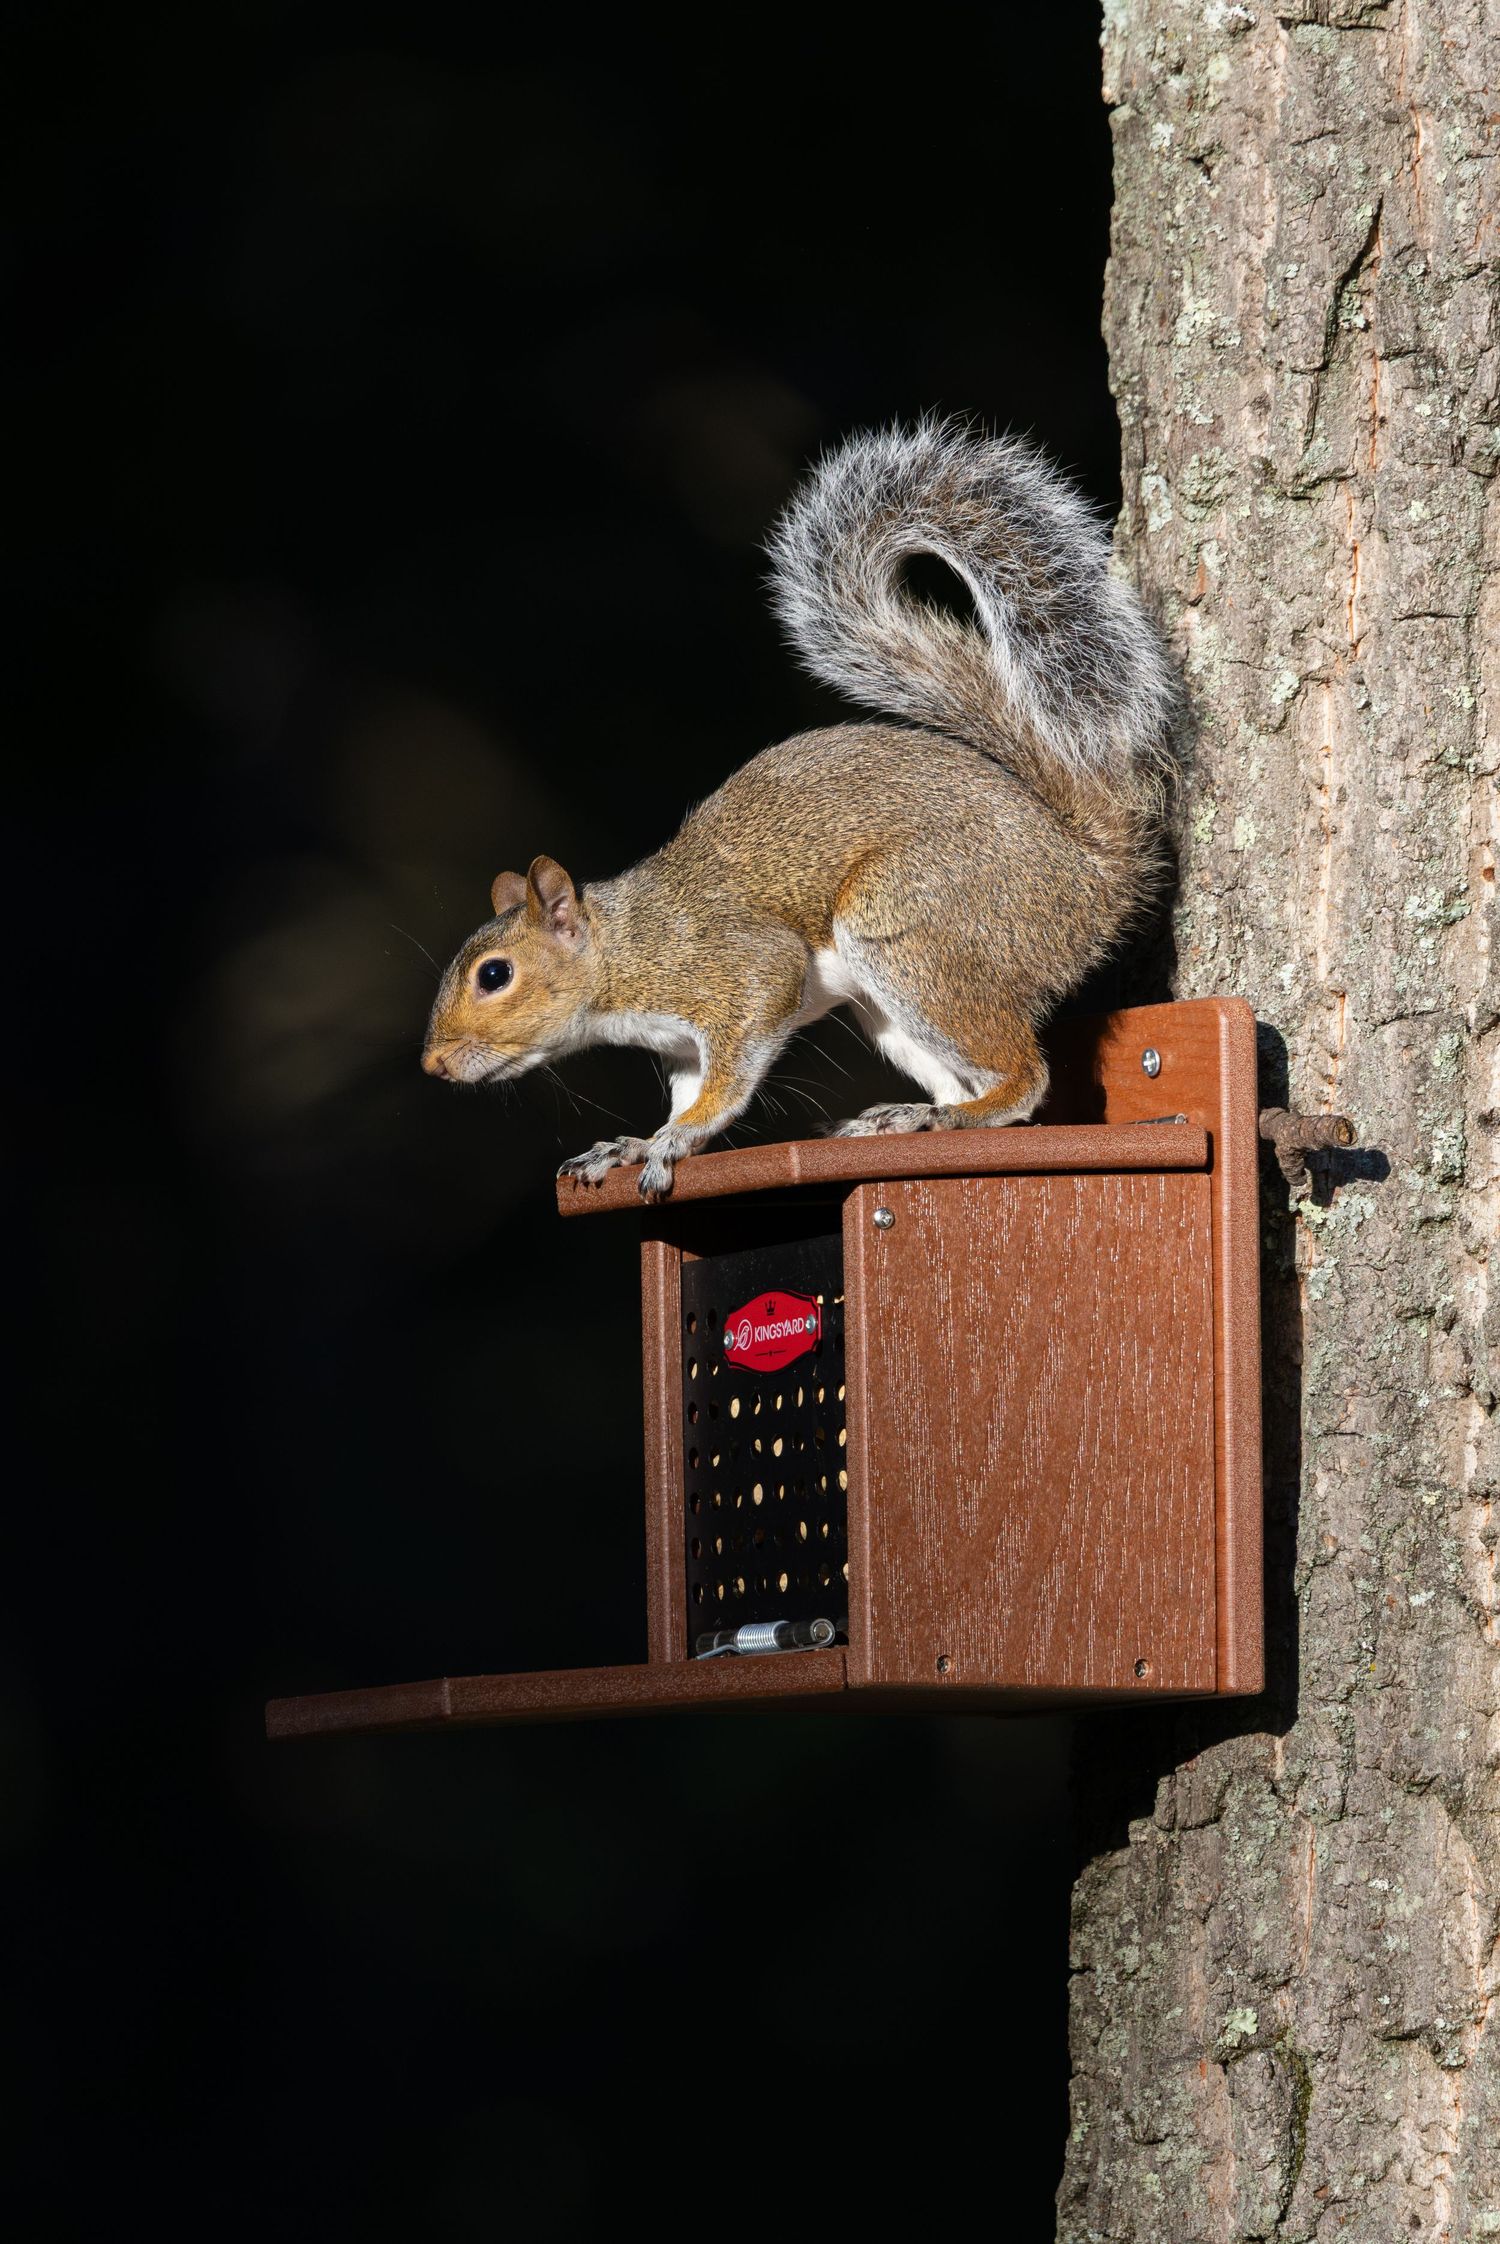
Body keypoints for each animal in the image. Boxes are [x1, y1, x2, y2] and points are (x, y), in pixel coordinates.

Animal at [421, 419, 1175, 1201]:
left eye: (494, 975)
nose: (433, 1065)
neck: (625, 951)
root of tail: (1087, 877)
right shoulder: (683, 1045)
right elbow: (689, 1090)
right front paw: (636, 1143)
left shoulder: (736, 970)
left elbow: (731, 1070)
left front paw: (676, 1140)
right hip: (892, 1004)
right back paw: (910, 1117)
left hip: (913, 928)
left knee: (1024, 1080)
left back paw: (956, 1116)